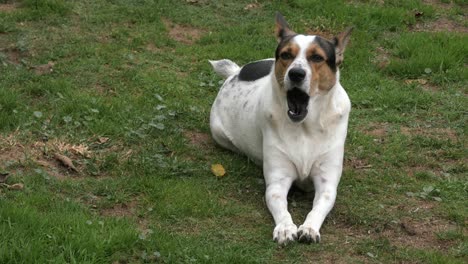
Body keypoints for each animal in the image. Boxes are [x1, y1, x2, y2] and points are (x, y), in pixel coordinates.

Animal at [208, 11, 352, 243]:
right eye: (286, 55)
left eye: (317, 57)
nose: (296, 74)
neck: (305, 127)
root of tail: (235, 72)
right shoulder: (278, 181)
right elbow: (279, 204)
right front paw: (285, 227)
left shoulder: (327, 182)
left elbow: (318, 207)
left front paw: (309, 227)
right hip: (219, 133)